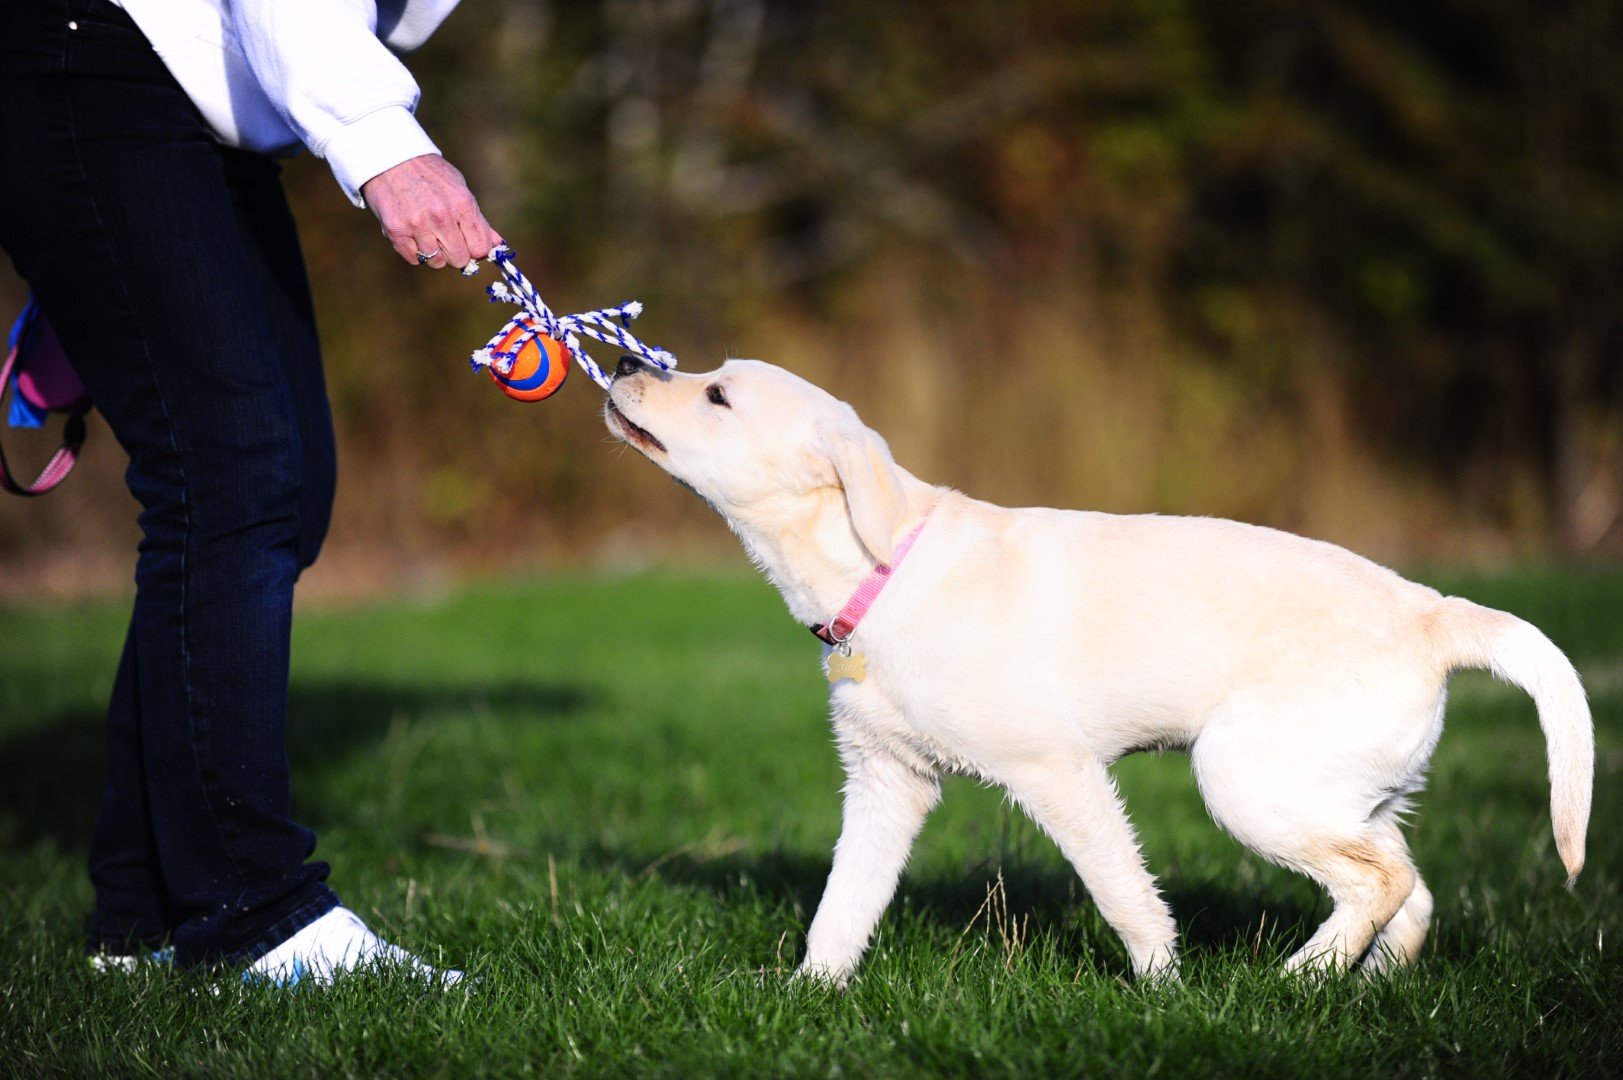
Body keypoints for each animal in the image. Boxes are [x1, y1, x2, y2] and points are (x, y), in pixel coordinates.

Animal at [603, 355, 1590, 987]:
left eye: (717, 394)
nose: (617, 366)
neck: (880, 565)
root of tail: (1432, 613)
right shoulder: (887, 781)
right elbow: (844, 901)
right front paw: (810, 992)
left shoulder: (1057, 771)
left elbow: (1123, 892)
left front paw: (1162, 989)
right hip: (1341, 789)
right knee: (1405, 886)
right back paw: (1360, 984)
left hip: (1247, 779)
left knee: (1380, 881)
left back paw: (1296, 981)